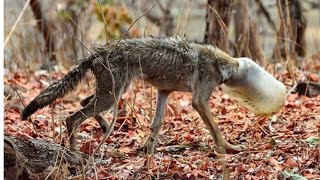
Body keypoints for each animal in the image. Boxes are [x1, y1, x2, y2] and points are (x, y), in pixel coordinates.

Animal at [20, 36, 284, 153]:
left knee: (85, 105)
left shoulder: (163, 92)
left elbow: (156, 125)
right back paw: (75, 152)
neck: (220, 64)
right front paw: (229, 147)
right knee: (71, 117)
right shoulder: (199, 102)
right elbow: (216, 129)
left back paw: (105, 128)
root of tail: (97, 52)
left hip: (113, 95)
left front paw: (149, 149)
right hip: (111, 96)